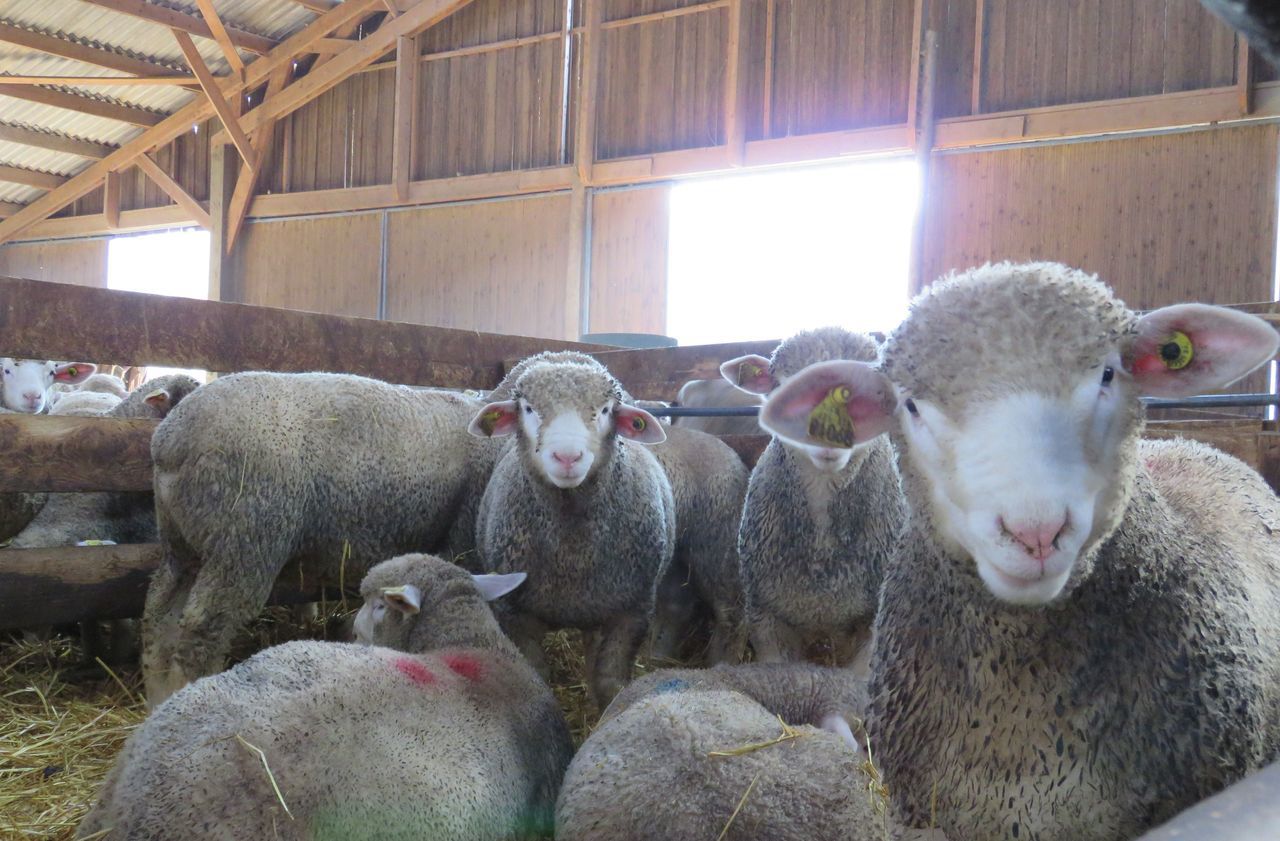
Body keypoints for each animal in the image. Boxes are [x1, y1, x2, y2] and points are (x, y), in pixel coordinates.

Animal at [137, 371, 501, 706]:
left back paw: (156, 694)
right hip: (243, 540)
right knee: (201, 629)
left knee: (159, 611)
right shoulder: (461, 540)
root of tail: (171, 440)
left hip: (182, 542)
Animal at [465, 350, 675, 706]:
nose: (567, 457)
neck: (572, 553)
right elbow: (537, 676)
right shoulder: (515, 613)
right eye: (529, 409)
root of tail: (561, 354)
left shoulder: (631, 612)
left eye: (605, 410)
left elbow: (609, 683)